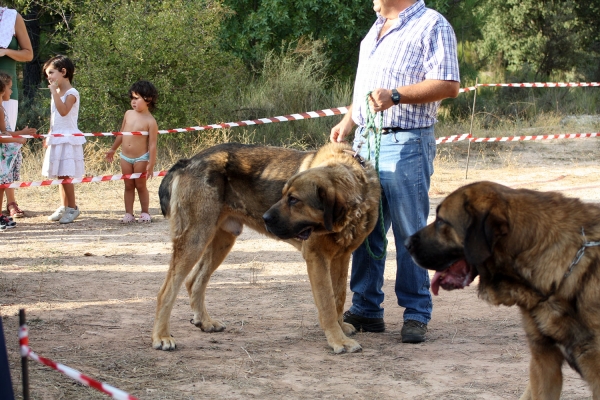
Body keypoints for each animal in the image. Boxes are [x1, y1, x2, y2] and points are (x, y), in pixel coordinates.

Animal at [152, 141, 378, 354]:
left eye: (293, 200)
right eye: (284, 194)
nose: (265, 218)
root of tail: (188, 161)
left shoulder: (342, 257)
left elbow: (338, 297)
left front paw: (340, 329)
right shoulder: (317, 258)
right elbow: (328, 304)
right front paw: (338, 340)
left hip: (222, 241)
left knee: (195, 280)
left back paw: (205, 322)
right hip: (196, 238)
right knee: (166, 291)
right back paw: (161, 336)